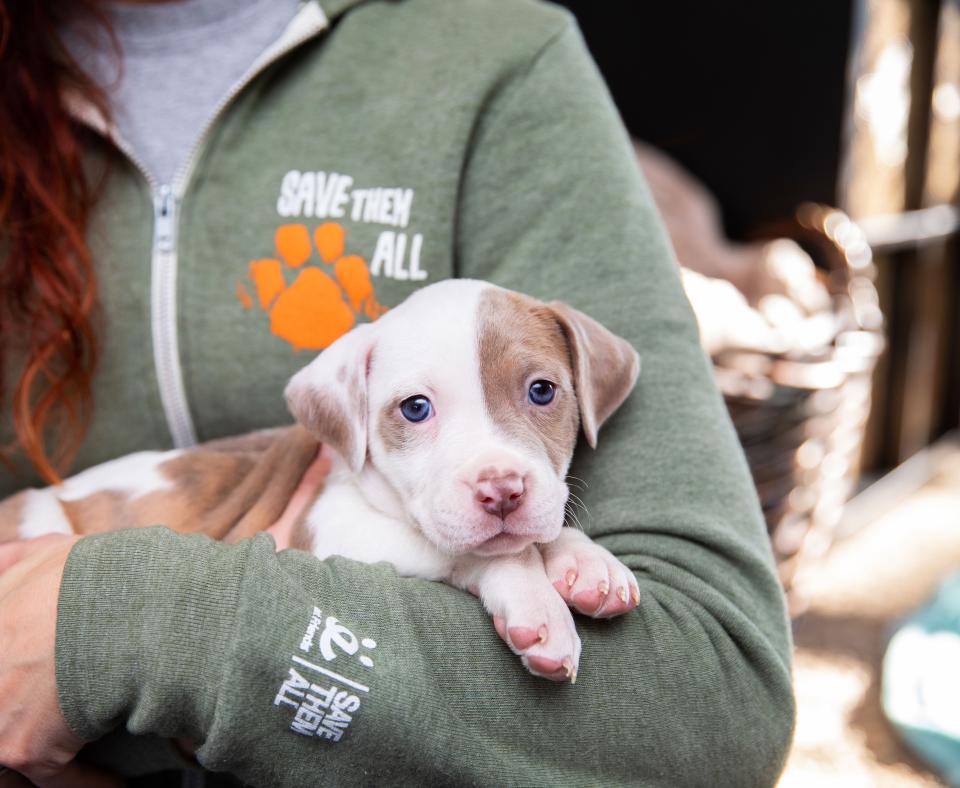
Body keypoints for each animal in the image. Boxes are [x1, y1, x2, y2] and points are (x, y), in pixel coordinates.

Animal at [3, 282, 644, 684]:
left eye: (542, 391)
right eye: (415, 408)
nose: (503, 490)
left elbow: (540, 533)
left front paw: (587, 562)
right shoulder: (332, 528)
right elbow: (481, 551)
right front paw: (537, 602)